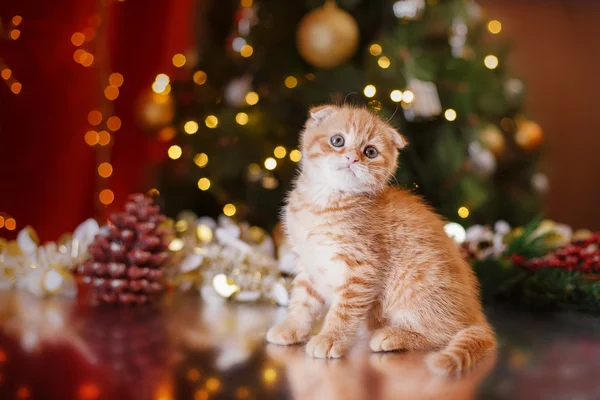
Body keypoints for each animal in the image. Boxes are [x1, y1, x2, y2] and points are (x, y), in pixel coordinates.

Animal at [268, 103, 496, 376]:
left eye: (370, 152)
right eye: (337, 140)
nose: (352, 158)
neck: (324, 202)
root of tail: (476, 314)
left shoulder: (362, 268)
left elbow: (344, 310)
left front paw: (331, 338)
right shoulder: (309, 263)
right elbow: (302, 300)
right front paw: (292, 327)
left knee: (442, 333)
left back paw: (393, 335)